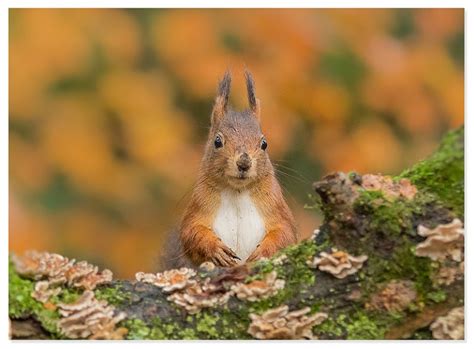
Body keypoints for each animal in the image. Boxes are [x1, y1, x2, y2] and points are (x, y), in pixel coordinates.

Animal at [172, 70, 296, 266]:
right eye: (217, 141)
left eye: (264, 144)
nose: (244, 163)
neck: (237, 191)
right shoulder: (198, 204)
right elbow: (190, 232)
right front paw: (216, 249)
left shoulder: (276, 206)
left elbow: (286, 232)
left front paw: (262, 253)